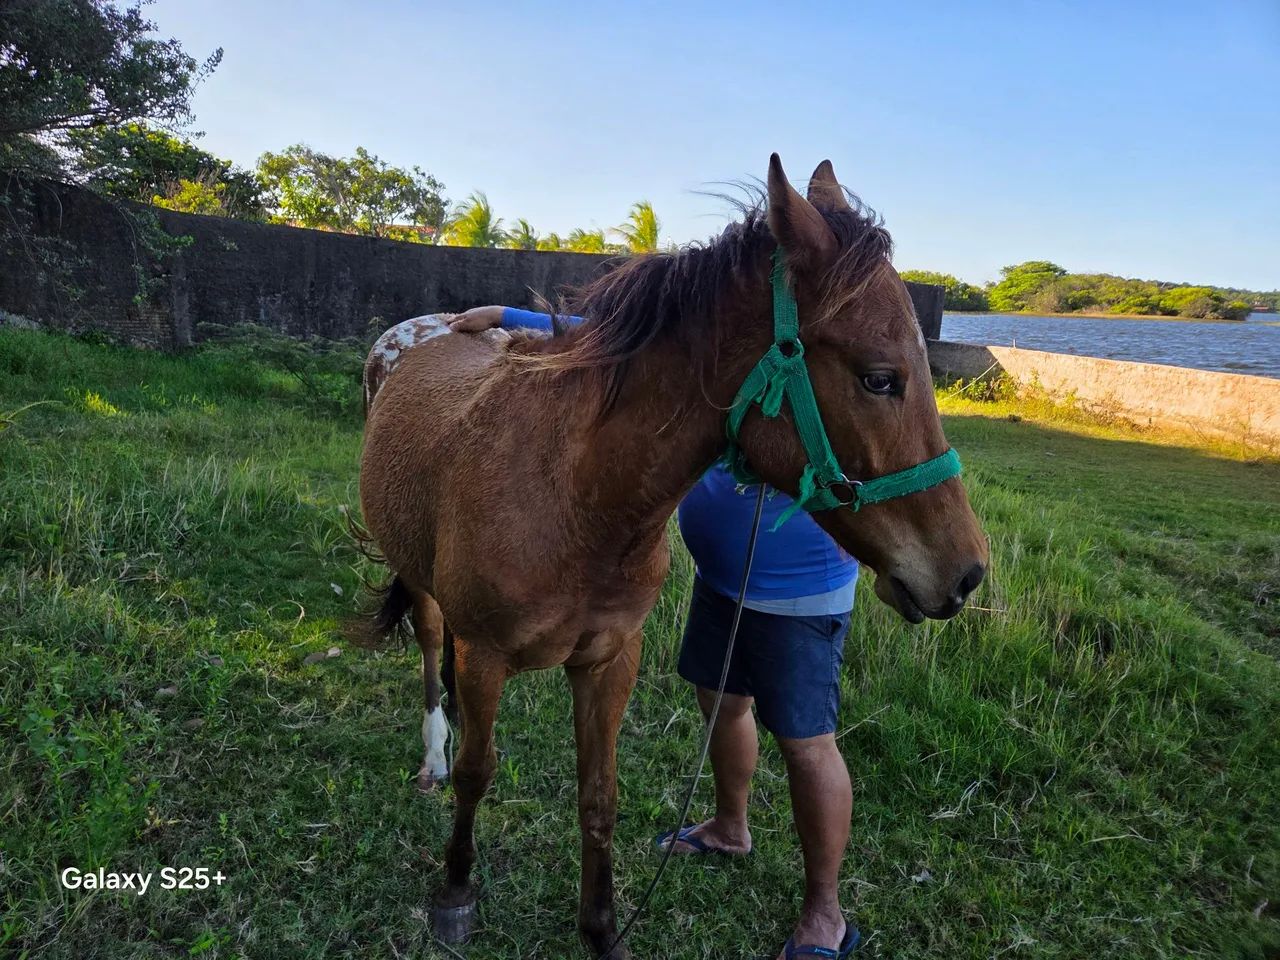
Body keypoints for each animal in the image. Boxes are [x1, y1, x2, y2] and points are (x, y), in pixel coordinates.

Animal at [356, 154, 989, 958]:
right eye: (880, 377)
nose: (965, 573)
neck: (577, 498)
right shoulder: (486, 655)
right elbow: (477, 773)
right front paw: (456, 891)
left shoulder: (609, 659)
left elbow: (600, 795)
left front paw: (601, 928)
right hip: (422, 585)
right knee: (433, 650)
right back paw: (432, 757)